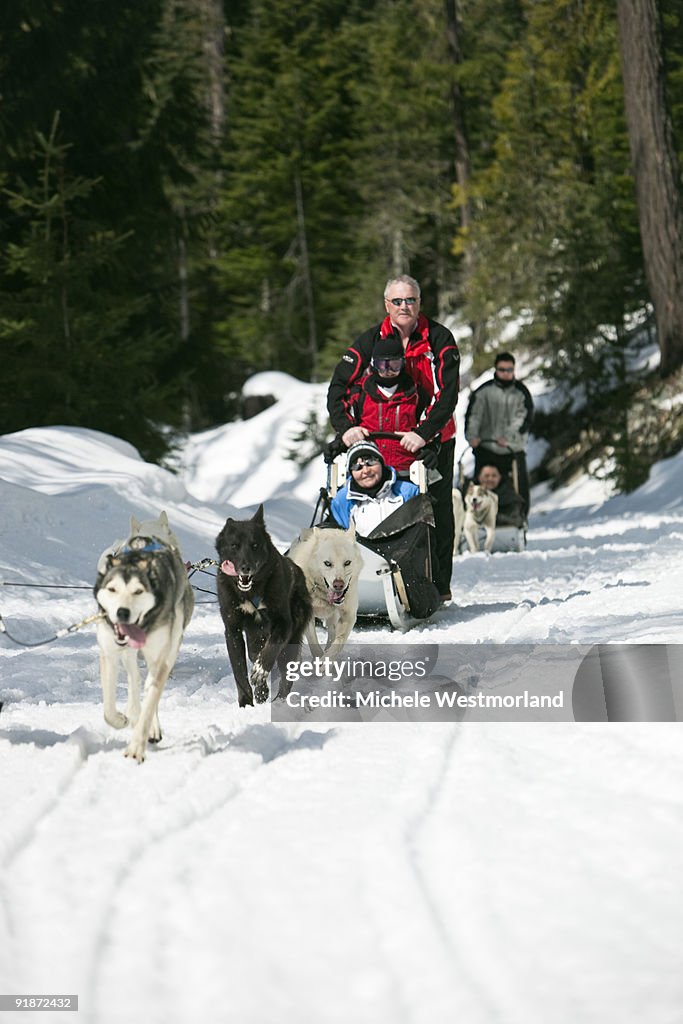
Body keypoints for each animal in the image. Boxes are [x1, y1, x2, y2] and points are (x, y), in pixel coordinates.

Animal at [93, 509, 194, 761]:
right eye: (112, 589)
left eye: (139, 591)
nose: (122, 613)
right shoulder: (110, 653)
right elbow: (109, 709)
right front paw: (121, 719)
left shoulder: (160, 657)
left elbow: (149, 695)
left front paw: (138, 743)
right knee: (136, 680)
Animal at [216, 503, 313, 704]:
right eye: (234, 545)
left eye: (255, 545)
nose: (246, 567)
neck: (251, 592)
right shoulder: (233, 630)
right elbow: (239, 671)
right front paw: (246, 703)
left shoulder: (284, 624)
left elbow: (270, 650)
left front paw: (260, 672)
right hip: (254, 639)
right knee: (255, 655)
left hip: (289, 643)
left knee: (285, 675)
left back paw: (279, 701)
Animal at [286, 524, 362, 659]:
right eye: (327, 563)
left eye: (347, 562)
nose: (338, 584)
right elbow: (314, 645)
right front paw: (318, 658)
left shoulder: (349, 615)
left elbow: (338, 643)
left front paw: (326, 660)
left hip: (333, 619)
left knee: (332, 634)